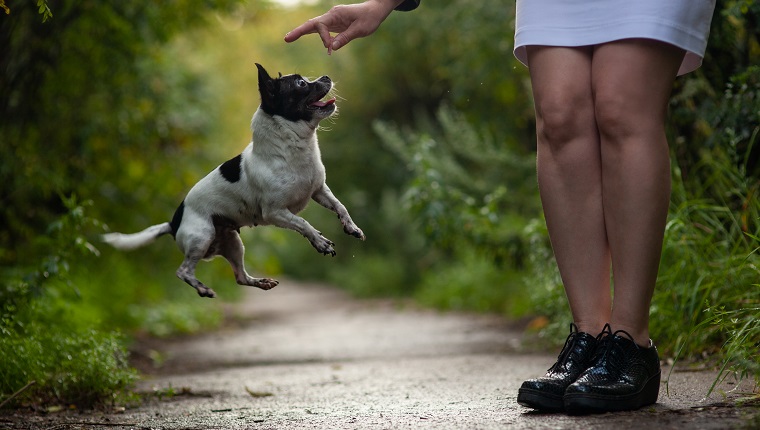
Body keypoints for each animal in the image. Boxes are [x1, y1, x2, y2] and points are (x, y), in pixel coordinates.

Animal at [103, 64, 366, 298]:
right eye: (301, 83)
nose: (326, 76)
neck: (293, 149)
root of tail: (173, 222)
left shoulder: (319, 190)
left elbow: (340, 206)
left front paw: (351, 227)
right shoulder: (275, 212)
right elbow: (303, 223)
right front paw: (320, 242)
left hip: (232, 242)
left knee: (240, 277)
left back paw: (261, 282)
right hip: (201, 236)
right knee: (183, 271)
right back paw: (203, 289)